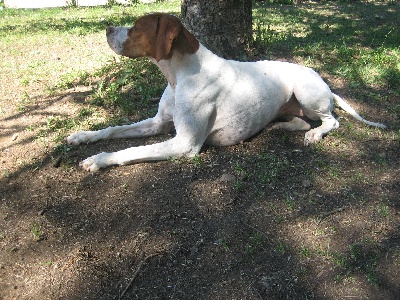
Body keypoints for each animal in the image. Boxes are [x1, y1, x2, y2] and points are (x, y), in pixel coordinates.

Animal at [65, 12, 384, 171]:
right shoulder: (158, 123)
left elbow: (131, 150)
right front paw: (83, 136)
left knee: (331, 121)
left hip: (306, 92)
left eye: (137, 27)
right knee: (302, 120)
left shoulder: (185, 144)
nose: (107, 28)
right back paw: (278, 126)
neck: (179, 75)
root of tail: (321, 79)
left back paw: (315, 134)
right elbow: (113, 129)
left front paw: (98, 159)